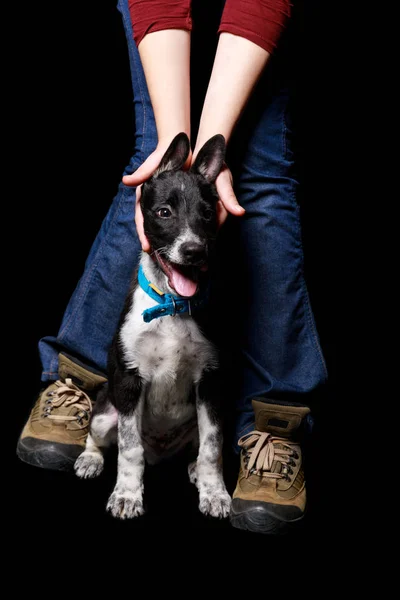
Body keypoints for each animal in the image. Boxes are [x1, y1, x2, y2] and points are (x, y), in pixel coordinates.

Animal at [74, 134, 231, 516]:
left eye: (207, 214)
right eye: (164, 213)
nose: (193, 251)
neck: (171, 305)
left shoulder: (210, 383)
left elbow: (212, 446)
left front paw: (215, 492)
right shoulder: (130, 381)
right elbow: (130, 448)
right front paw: (127, 495)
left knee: (198, 447)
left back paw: (193, 470)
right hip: (107, 407)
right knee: (100, 435)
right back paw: (91, 458)